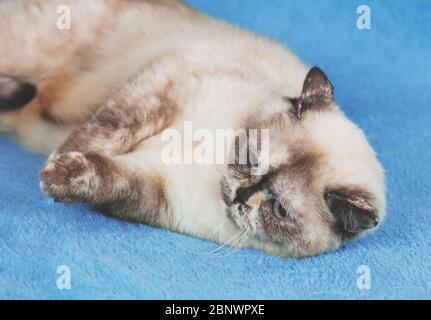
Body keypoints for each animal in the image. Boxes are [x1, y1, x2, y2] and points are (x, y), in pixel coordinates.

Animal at [0, 0, 386, 256]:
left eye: (278, 210)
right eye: (251, 157)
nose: (241, 195)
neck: (212, 165)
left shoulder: (152, 187)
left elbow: (104, 174)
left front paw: (58, 175)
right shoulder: (164, 87)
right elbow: (106, 130)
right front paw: (57, 163)